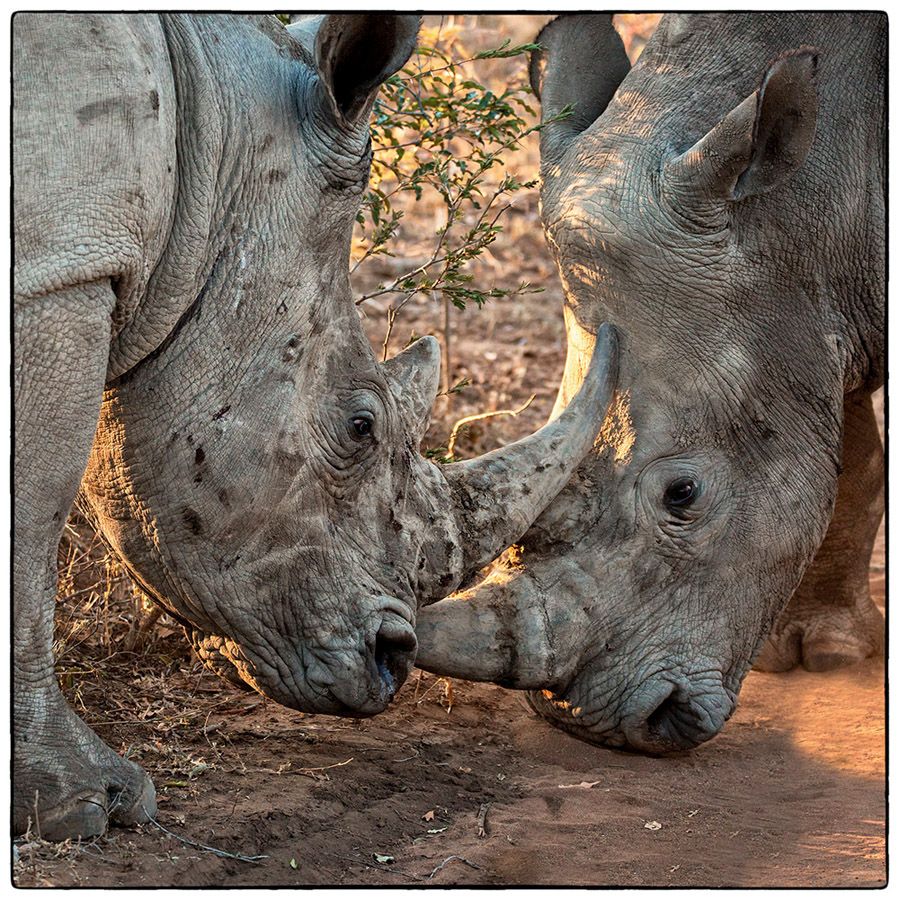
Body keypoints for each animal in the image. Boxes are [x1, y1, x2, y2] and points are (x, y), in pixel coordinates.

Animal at [13, 13, 618, 839]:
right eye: (361, 426)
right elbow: (32, 522)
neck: (211, 150)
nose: (393, 659)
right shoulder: (58, 272)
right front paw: (88, 806)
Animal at [417, 13, 884, 753]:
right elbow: (851, 457)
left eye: (682, 494)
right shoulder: (806, 305)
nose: (592, 722)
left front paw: (833, 654)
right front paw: (824, 648)